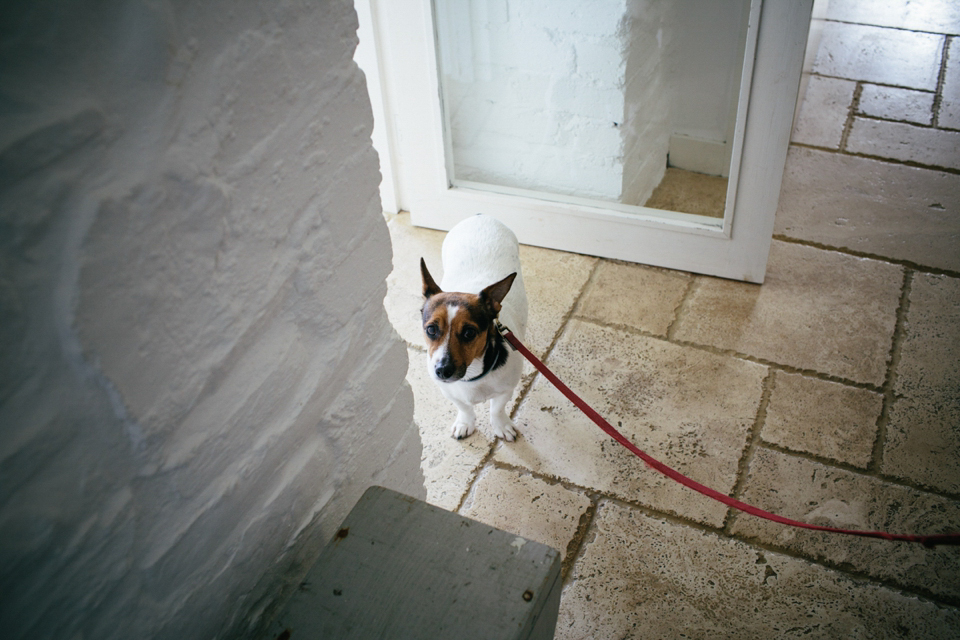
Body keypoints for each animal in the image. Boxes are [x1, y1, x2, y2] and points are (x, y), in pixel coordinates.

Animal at [418, 215, 528, 440]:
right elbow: (465, 408)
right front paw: (465, 423)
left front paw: (501, 425)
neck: (472, 376)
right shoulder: (449, 392)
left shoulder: (506, 390)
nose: (442, 371)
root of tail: (480, 215)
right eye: (431, 330)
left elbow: (497, 409)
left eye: (469, 333)